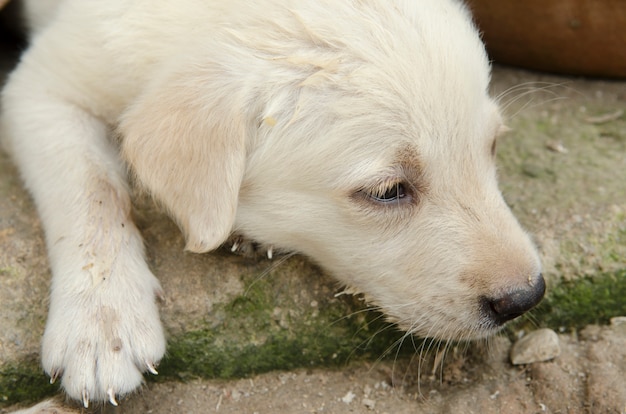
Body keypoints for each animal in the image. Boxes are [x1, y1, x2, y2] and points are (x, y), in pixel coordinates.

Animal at [1, 0, 540, 408]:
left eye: (492, 146)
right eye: (388, 192)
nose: (527, 297)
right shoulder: (41, 87)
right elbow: (90, 188)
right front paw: (99, 322)